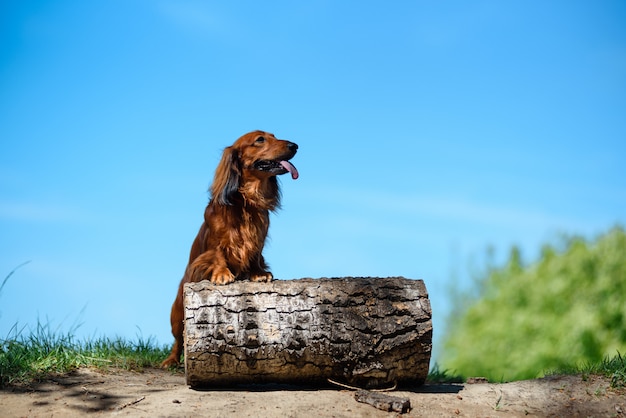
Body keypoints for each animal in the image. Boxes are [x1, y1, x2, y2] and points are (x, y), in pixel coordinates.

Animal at [161, 130, 298, 366]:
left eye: (274, 135)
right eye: (260, 139)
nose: (295, 146)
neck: (246, 202)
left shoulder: (258, 239)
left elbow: (255, 256)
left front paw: (259, 274)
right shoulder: (216, 241)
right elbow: (218, 256)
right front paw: (222, 275)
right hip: (178, 312)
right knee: (179, 339)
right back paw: (171, 360)